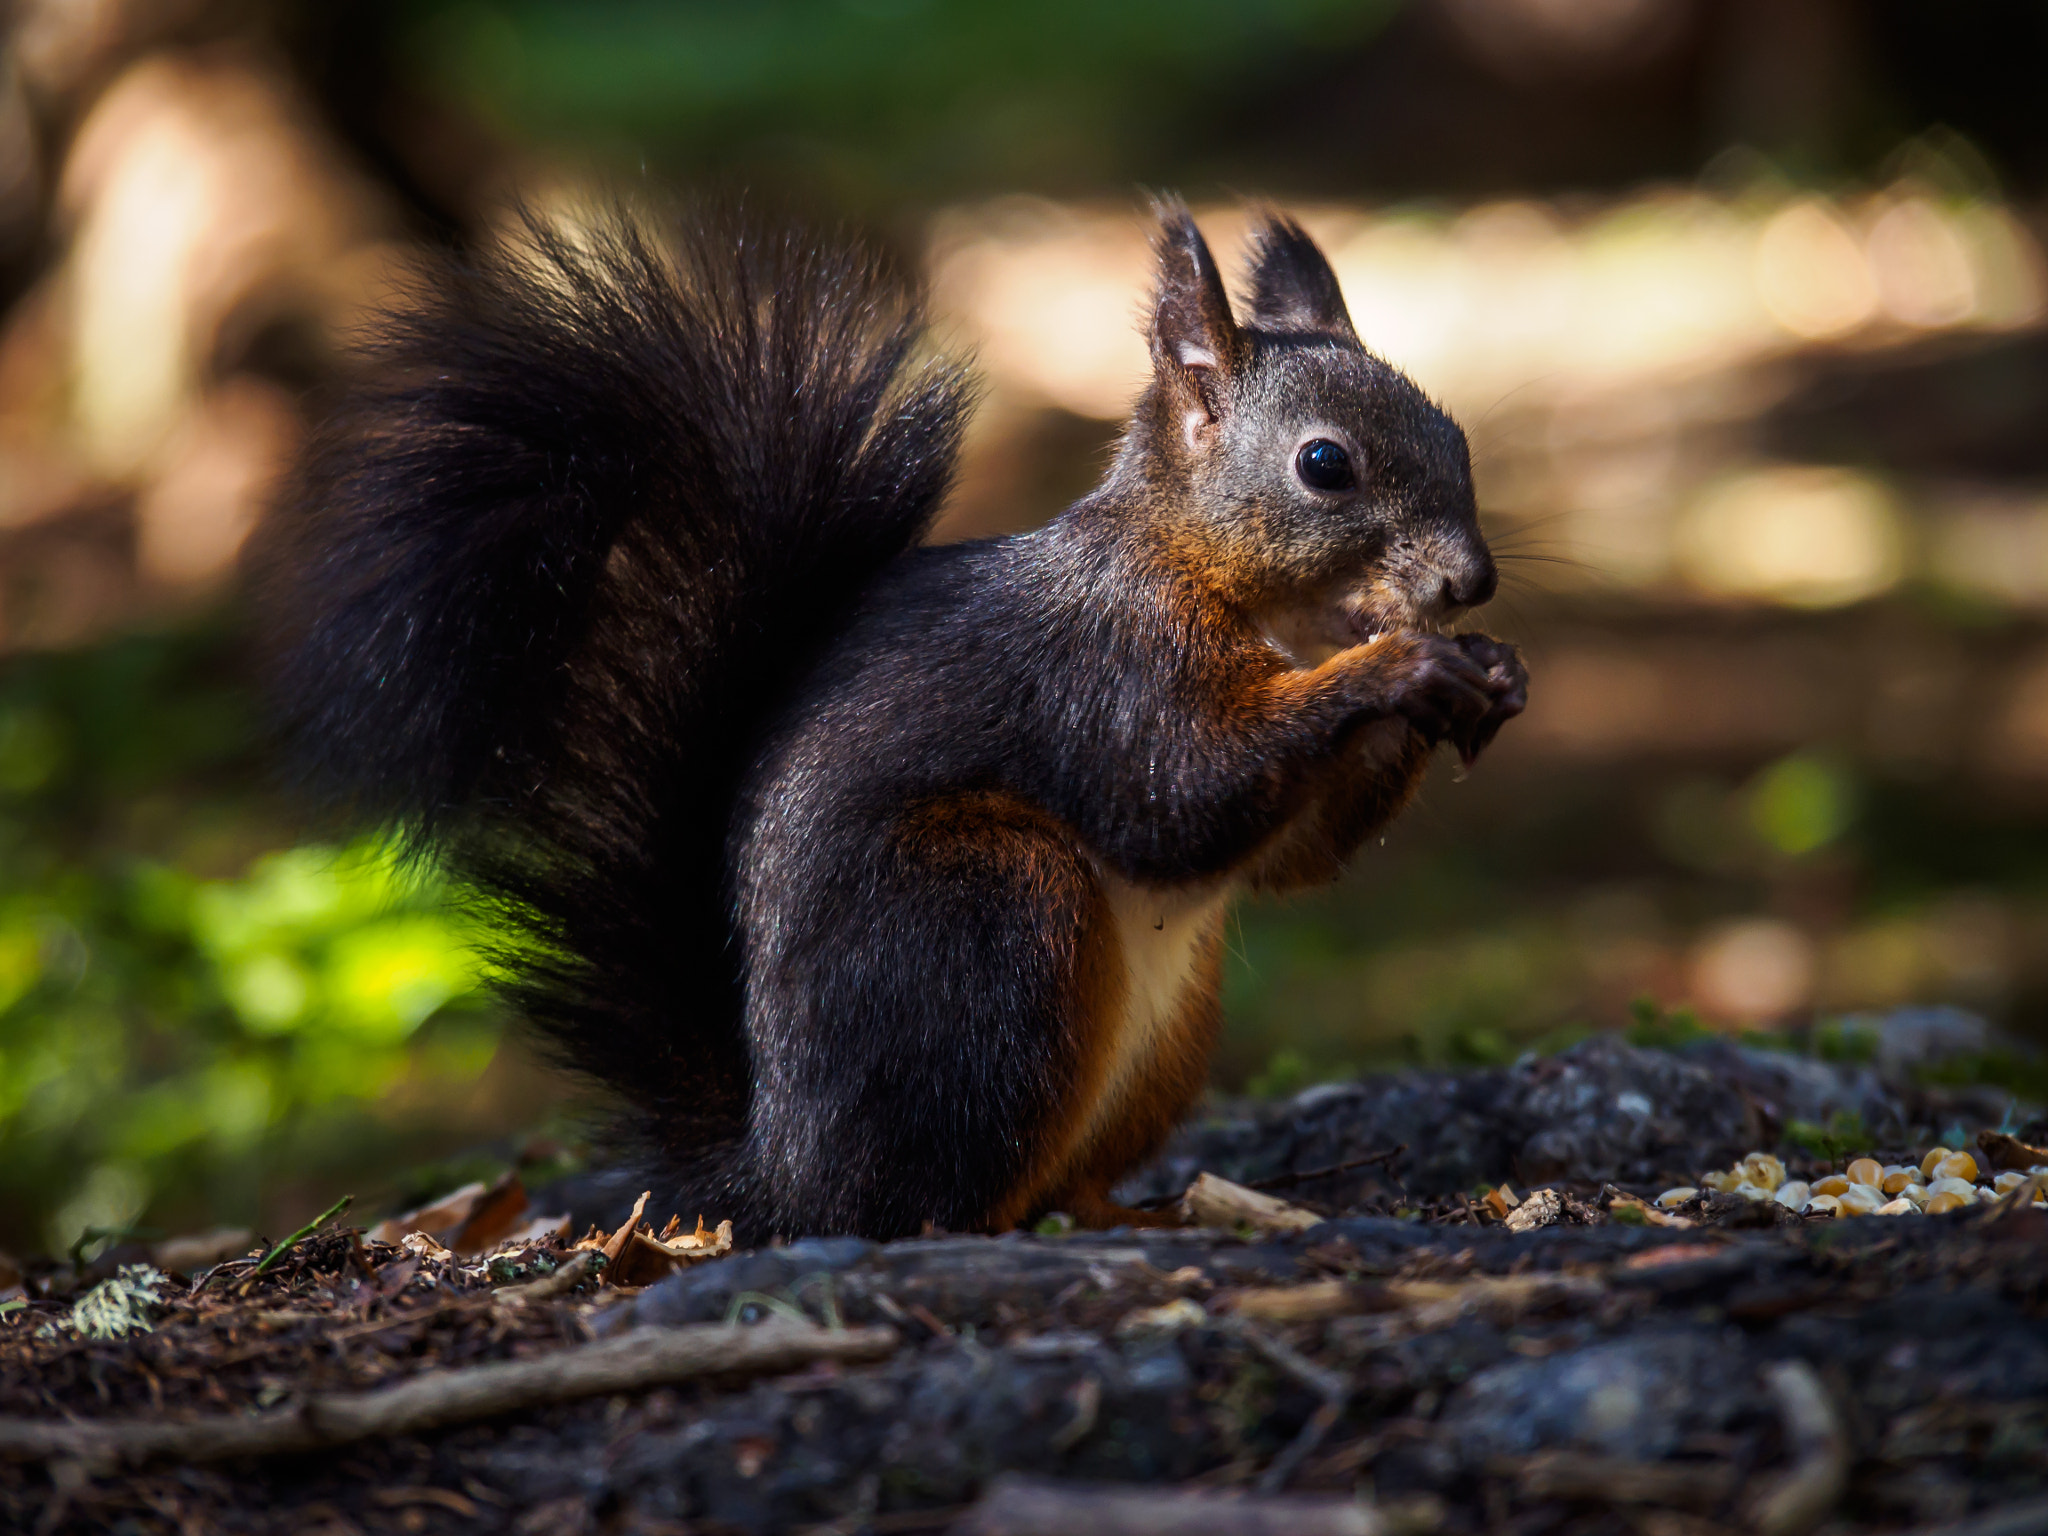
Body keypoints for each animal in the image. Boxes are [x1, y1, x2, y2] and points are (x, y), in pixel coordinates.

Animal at [259, 199, 1527, 1242]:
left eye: (1459, 438)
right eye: (1323, 465)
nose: (1469, 584)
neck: (1247, 602)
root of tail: (777, 1176)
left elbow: (1287, 860)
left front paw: (1490, 676)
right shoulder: (1107, 668)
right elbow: (1175, 800)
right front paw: (1399, 667)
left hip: (1160, 1032)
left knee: (1055, 1180)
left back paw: (1152, 1211)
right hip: (985, 908)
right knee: (925, 1201)